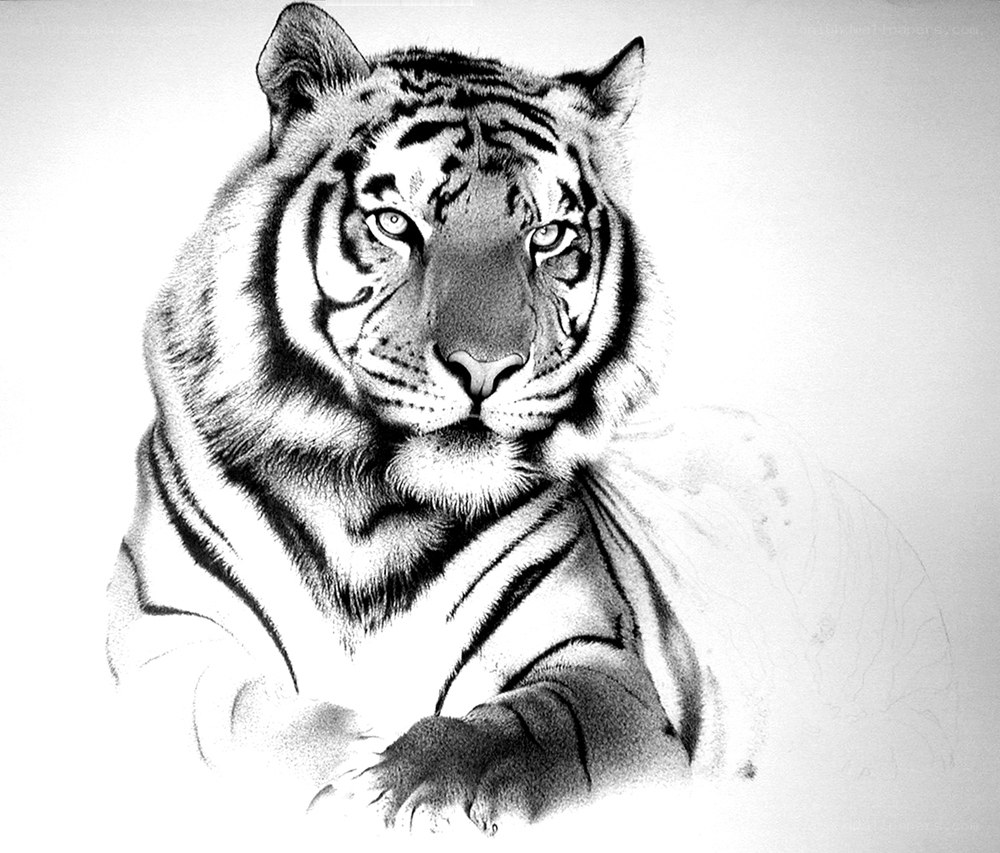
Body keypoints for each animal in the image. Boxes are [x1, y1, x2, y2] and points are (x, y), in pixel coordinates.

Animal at [106, 1, 955, 836]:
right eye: (395, 223)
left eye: (547, 237)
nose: (486, 367)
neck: (370, 512)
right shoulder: (165, 635)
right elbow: (225, 718)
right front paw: (335, 759)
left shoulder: (601, 664)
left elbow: (528, 727)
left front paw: (406, 780)